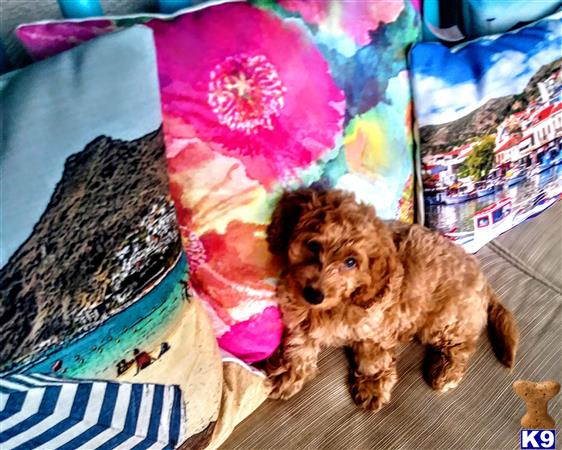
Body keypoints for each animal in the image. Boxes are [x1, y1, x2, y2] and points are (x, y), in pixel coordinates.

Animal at [264, 188, 520, 410]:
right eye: (313, 245)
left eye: (351, 262)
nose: (314, 294)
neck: (338, 304)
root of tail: (483, 279)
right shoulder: (298, 310)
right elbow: (298, 345)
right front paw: (288, 374)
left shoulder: (377, 327)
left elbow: (372, 358)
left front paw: (372, 386)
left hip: (446, 318)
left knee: (461, 345)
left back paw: (445, 372)